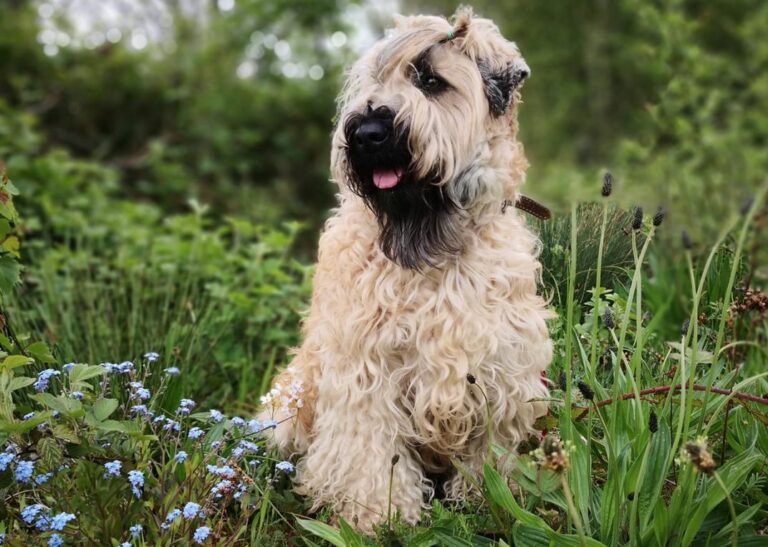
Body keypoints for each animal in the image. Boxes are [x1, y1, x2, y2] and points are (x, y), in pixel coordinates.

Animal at [260, 6, 552, 532]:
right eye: (373, 81)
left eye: (432, 82)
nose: (367, 134)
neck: (433, 246)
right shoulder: (365, 369)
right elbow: (370, 452)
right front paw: (377, 514)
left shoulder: (503, 369)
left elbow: (491, 454)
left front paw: (491, 502)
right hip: (289, 401)